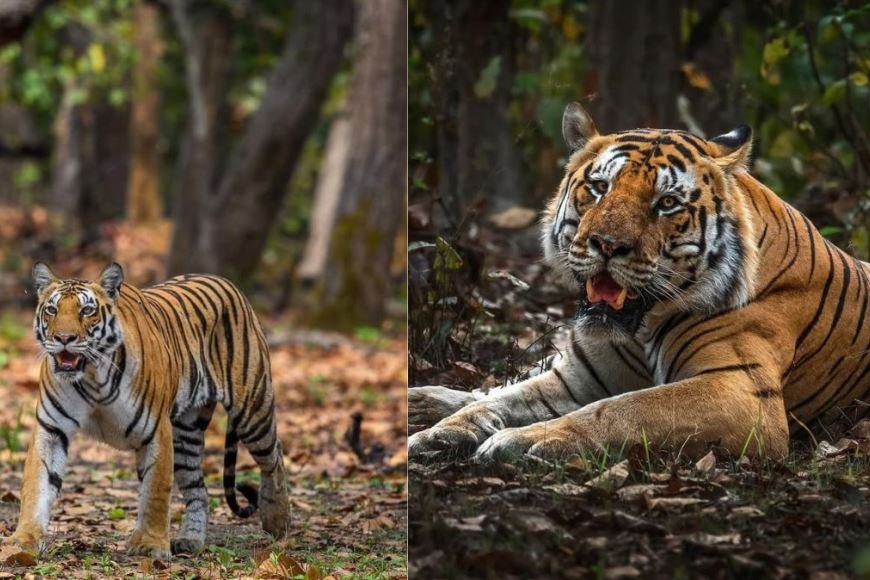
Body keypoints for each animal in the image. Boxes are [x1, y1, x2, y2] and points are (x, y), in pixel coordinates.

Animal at [3, 263, 290, 557]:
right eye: (52, 309)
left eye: (87, 310)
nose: (63, 338)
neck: (93, 376)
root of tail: (225, 281)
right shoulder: (51, 429)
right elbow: (36, 485)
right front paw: (23, 540)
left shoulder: (156, 431)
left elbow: (155, 491)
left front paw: (150, 544)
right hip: (186, 434)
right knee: (198, 489)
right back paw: (191, 539)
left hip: (252, 411)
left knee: (274, 457)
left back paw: (278, 521)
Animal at [409, 102, 870, 463]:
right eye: (598, 187)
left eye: (666, 203)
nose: (608, 245)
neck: (640, 326)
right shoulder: (578, 377)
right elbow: (501, 400)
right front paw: (438, 434)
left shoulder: (740, 392)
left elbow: (620, 409)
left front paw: (524, 440)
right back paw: (420, 401)